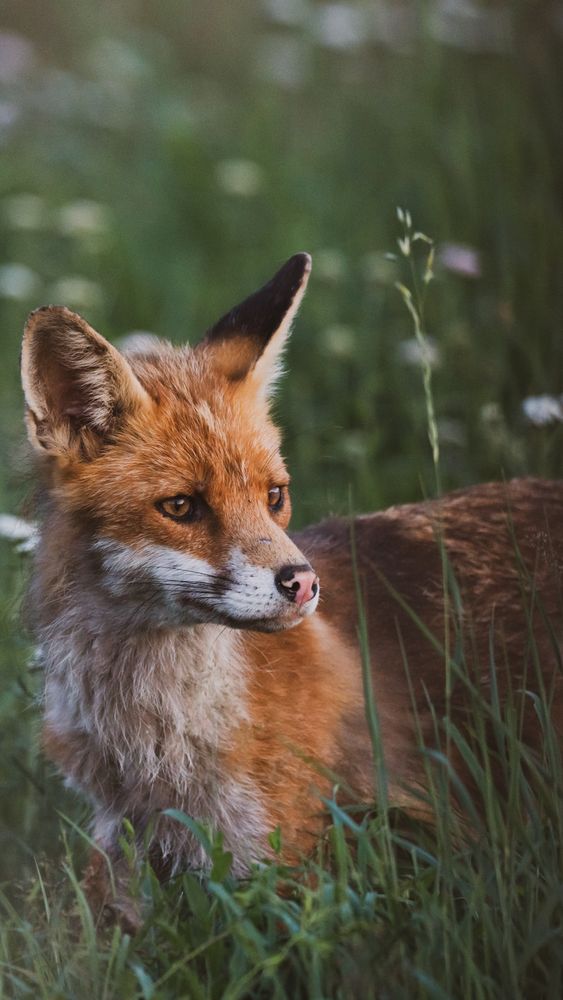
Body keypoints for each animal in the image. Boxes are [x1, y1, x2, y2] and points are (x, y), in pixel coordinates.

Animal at [19, 254, 563, 924]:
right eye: (181, 507)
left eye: (274, 495)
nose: (303, 583)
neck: (156, 756)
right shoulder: (118, 862)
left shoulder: (297, 866)